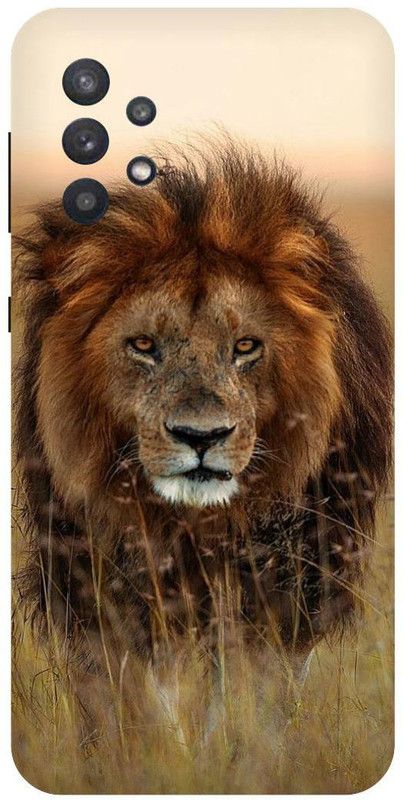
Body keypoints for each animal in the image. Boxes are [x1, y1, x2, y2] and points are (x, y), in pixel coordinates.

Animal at [14, 139, 392, 696]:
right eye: (144, 345)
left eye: (245, 347)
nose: (200, 437)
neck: (193, 527)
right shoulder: (100, 588)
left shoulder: (285, 588)